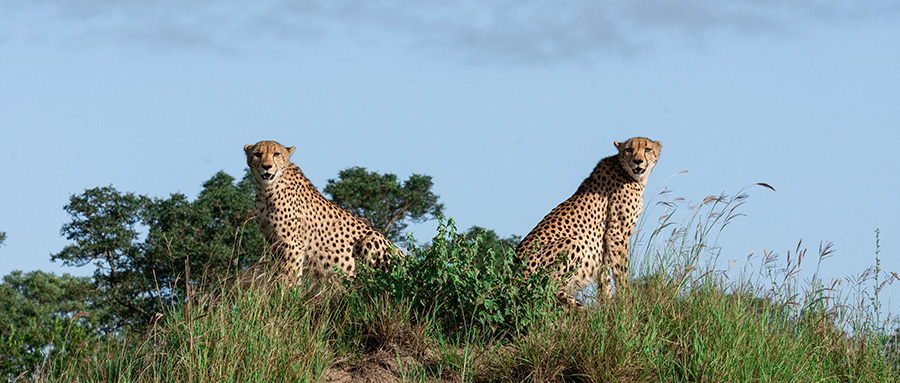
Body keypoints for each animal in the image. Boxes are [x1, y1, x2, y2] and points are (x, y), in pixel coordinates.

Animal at [244, 141, 402, 288]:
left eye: (276, 154)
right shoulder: (273, 242)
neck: (266, 190)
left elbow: (290, 274)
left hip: (371, 240)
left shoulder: (292, 244)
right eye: (257, 154)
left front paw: (287, 293)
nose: (266, 166)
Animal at [512, 136, 660, 308]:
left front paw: (608, 307)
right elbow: (621, 271)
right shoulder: (616, 235)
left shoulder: (604, 245)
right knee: (545, 289)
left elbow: (605, 279)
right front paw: (626, 303)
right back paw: (580, 307)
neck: (627, 172)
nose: (637, 161)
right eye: (629, 150)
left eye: (647, 149)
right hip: (571, 243)